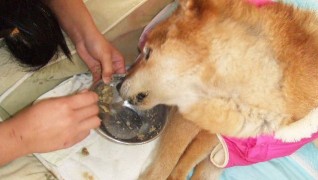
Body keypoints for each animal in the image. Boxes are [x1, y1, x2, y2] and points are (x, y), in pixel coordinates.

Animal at [118, 0, 318, 179]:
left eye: (148, 53)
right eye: (143, 51)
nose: (119, 83)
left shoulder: (219, 142)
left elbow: (184, 169)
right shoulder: (194, 123)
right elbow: (167, 165)